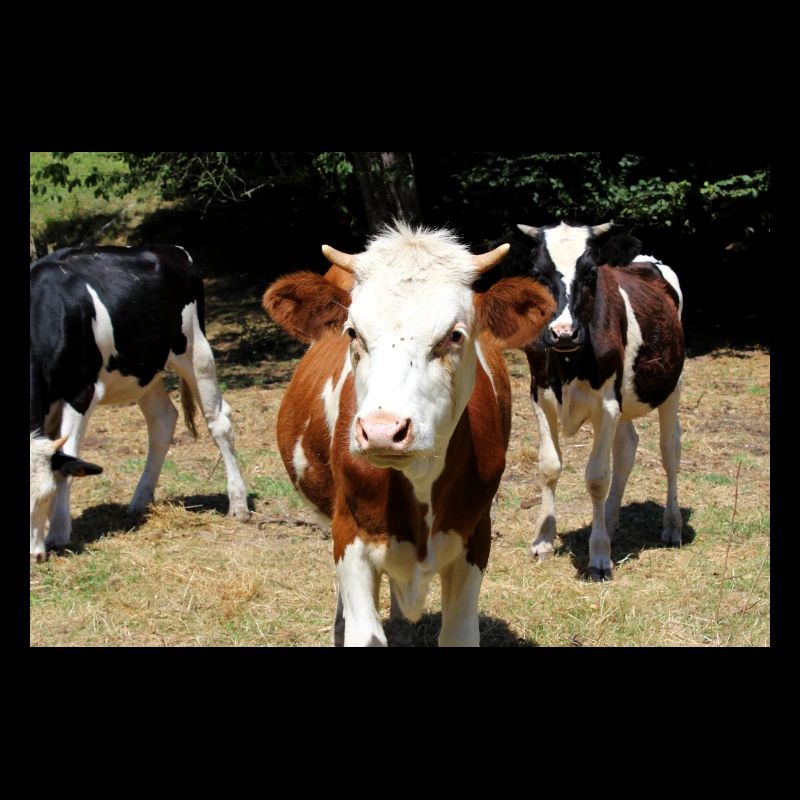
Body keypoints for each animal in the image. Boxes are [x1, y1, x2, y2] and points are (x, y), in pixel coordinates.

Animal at [30, 245, 250, 563]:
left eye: (44, 496)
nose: (33, 556)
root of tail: (172, 251)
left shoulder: (81, 393)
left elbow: (67, 463)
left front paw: (58, 532)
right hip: (146, 369)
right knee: (163, 419)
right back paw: (140, 500)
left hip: (195, 349)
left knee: (220, 422)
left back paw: (238, 503)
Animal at [263, 223, 555, 646]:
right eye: (352, 332)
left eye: (455, 335)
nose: (383, 431)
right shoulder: (349, 535)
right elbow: (364, 632)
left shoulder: (475, 535)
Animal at [516, 221, 685, 580]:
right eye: (538, 273)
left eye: (591, 273)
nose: (563, 332)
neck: (568, 361)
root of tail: (645, 260)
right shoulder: (540, 396)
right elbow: (549, 467)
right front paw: (543, 541)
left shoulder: (607, 404)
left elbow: (596, 477)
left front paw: (599, 555)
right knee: (627, 447)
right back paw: (608, 518)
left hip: (671, 387)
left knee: (670, 451)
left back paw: (672, 526)